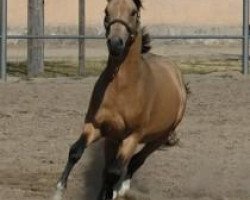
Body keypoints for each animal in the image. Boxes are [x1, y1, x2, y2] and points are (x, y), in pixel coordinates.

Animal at [54, 0, 188, 199]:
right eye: (106, 11)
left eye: (133, 12)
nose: (116, 43)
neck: (121, 87)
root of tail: (177, 75)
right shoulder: (96, 126)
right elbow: (75, 152)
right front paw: (58, 190)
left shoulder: (132, 137)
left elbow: (114, 171)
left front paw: (112, 193)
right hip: (113, 139)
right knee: (108, 168)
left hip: (158, 137)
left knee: (135, 161)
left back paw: (121, 189)